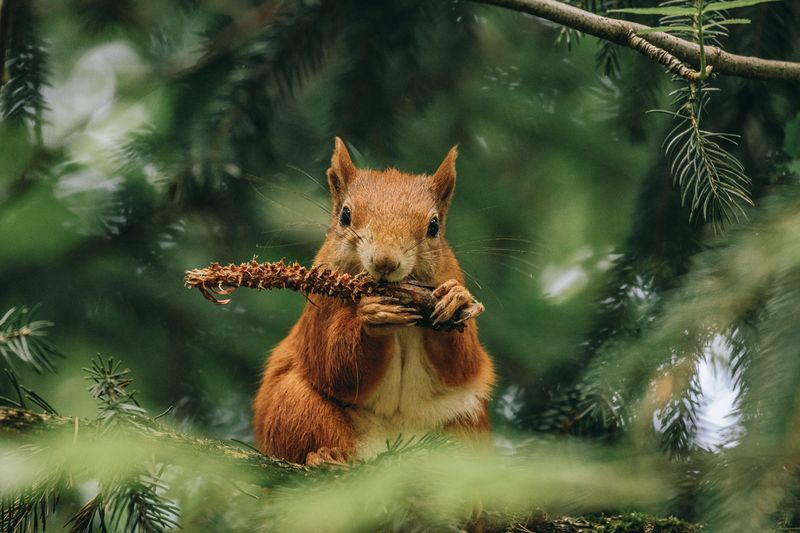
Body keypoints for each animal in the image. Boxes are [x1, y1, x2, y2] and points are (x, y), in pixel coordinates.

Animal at [252, 137, 495, 465]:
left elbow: (463, 364)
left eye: (433, 226)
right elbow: (334, 365)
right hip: (294, 406)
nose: (385, 262)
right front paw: (373, 317)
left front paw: (453, 299)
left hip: (467, 424)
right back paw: (327, 458)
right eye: (345, 216)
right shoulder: (320, 306)